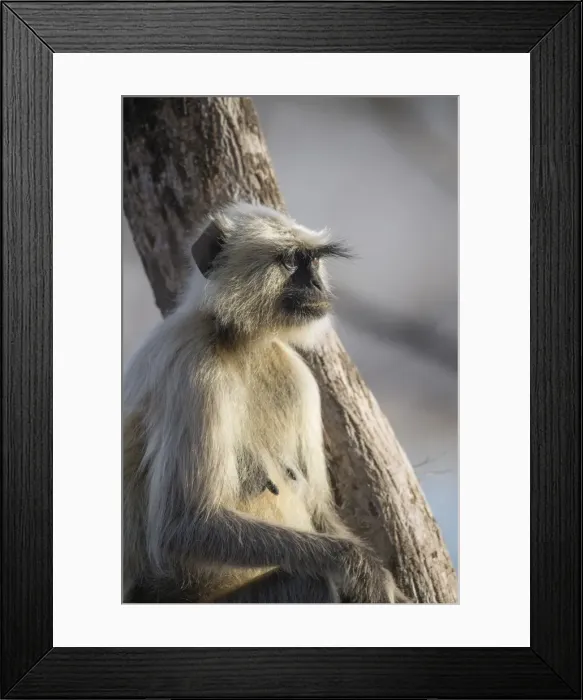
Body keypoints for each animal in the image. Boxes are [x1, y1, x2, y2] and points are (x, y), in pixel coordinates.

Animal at [123, 201, 407, 604]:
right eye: (290, 261)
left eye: (313, 262)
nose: (316, 284)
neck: (239, 342)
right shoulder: (192, 368)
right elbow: (183, 525)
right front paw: (360, 567)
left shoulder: (299, 377)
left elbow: (318, 507)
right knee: (313, 582)